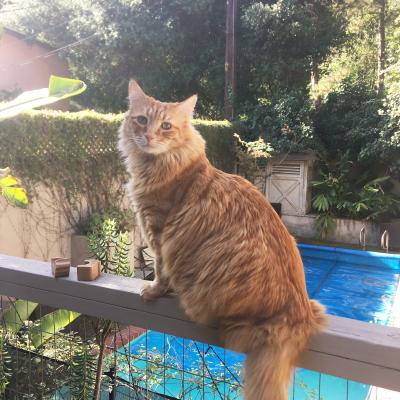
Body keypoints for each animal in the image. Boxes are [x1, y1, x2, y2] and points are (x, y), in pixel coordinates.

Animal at [118, 81, 324, 400]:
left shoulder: (159, 231)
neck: (157, 164)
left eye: (166, 126)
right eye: (141, 120)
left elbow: (161, 271)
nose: (149, 135)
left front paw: (154, 290)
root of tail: (299, 311)